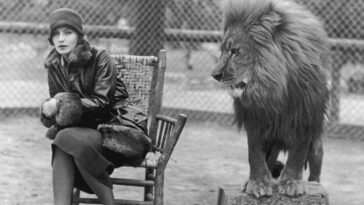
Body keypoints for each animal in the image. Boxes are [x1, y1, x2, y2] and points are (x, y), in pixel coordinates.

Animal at [212, 0, 328, 199]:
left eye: (235, 51)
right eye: (222, 51)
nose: (215, 75)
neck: (272, 89)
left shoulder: (304, 119)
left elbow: (297, 156)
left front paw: (292, 183)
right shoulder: (256, 119)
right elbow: (255, 155)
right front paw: (257, 183)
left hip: (316, 143)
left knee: (315, 164)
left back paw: (314, 183)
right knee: (270, 159)